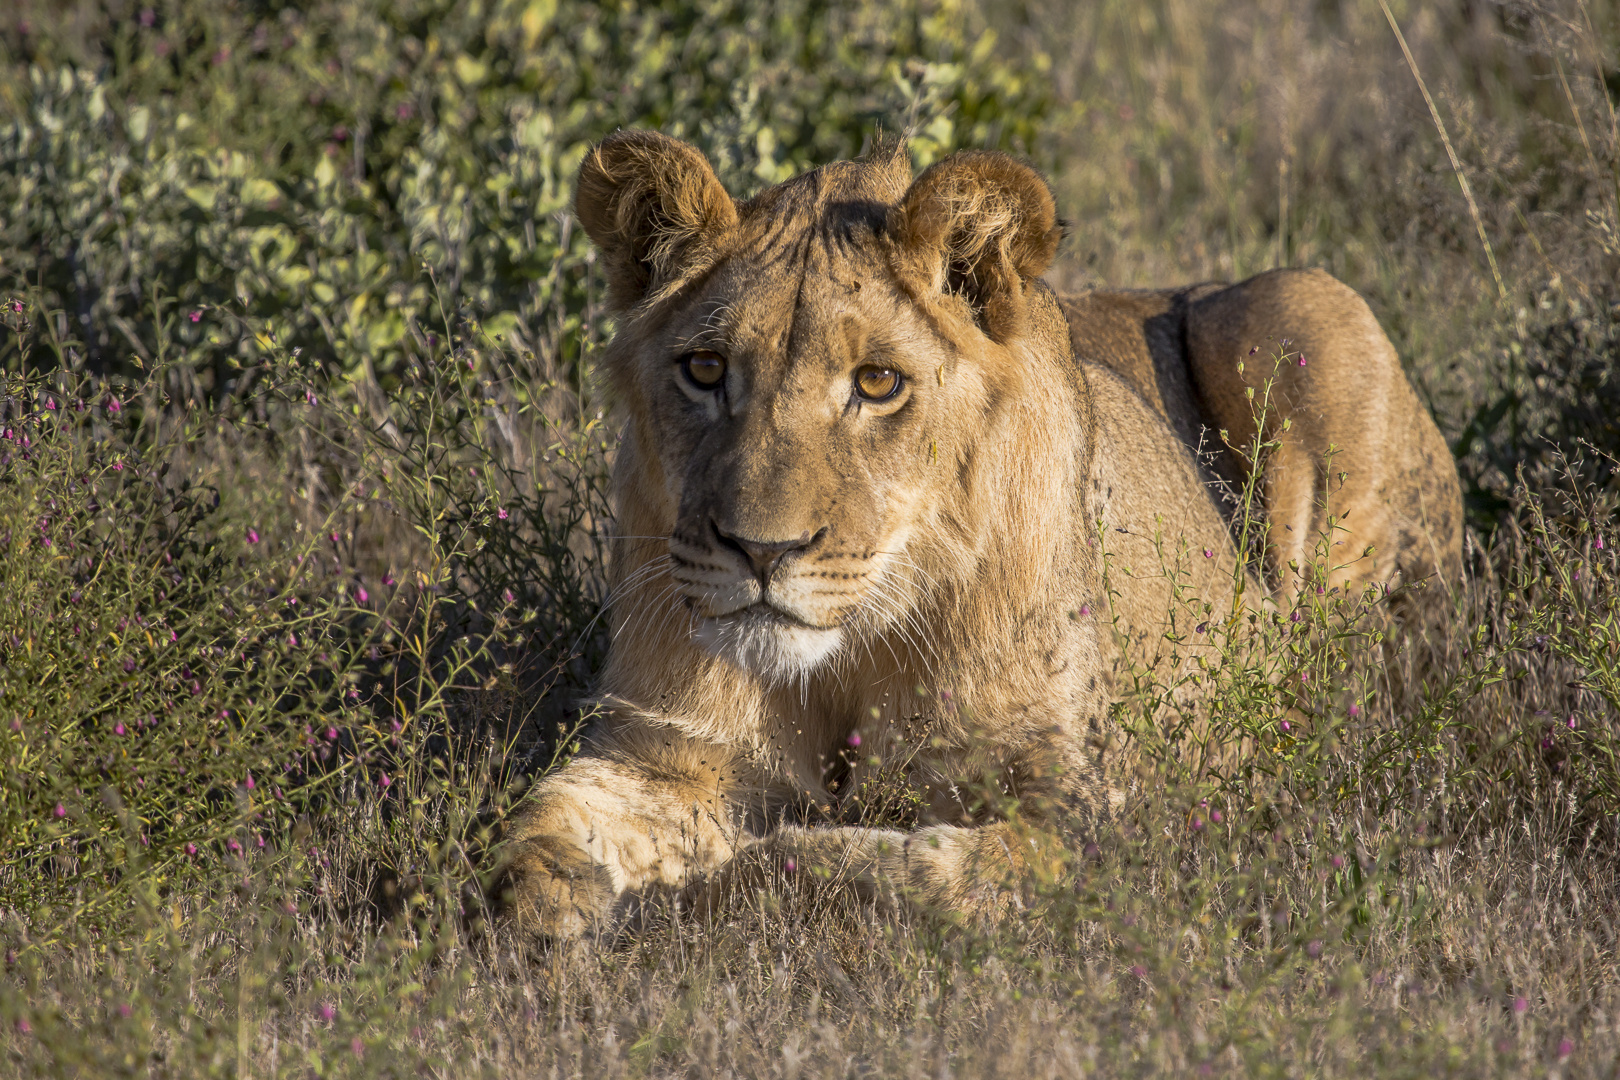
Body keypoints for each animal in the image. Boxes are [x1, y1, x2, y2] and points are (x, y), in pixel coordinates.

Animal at [495, 128, 1470, 939]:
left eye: (877, 383)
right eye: (704, 370)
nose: (762, 553)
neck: (845, 660)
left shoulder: (1080, 817)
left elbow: (890, 873)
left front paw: (719, 887)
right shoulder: (666, 756)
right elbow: (530, 839)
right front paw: (547, 921)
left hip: (1311, 309)